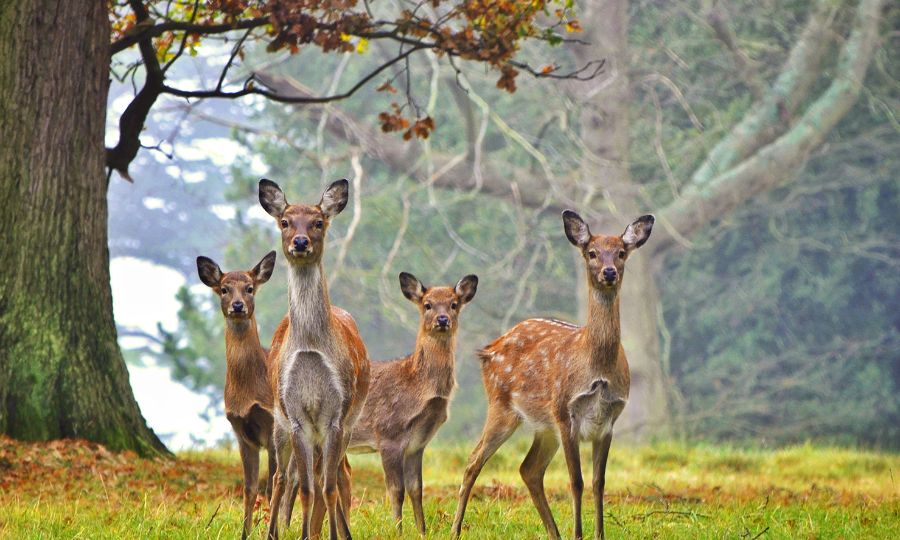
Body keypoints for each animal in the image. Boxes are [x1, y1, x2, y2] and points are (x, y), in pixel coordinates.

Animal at [196, 250, 280, 540]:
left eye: (249, 288)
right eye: (224, 289)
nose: (238, 305)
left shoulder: (273, 425)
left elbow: (271, 487)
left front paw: (272, 535)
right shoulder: (241, 432)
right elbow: (249, 488)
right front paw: (245, 533)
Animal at [259, 178, 370, 540]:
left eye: (318, 222)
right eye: (285, 221)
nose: (300, 241)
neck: (310, 346)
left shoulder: (337, 413)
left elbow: (328, 486)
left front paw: (333, 535)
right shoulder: (295, 415)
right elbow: (306, 488)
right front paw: (306, 534)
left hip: (348, 423)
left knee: (337, 475)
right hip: (278, 420)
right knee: (282, 477)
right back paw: (273, 532)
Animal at [346, 272, 479, 535]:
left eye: (454, 304)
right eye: (427, 304)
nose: (442, 319)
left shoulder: (418, 444)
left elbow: (416, 489)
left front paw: (422, 531)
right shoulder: (388, 434)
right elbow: (396, 491)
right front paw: (396, 531)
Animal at [451, 211, 655, 540]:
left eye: (622, 252)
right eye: (592, 253)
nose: (609, 272)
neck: (597, 368)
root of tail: (488, 350)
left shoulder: (608, 420)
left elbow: (599, 483)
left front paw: (598, 535)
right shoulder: (565, 412)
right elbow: (577, 482)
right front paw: (578, 535)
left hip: (543, 426)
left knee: (529, 469)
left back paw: (553, 533)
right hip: (502, 406)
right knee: (473, 460)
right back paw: (455, 529)